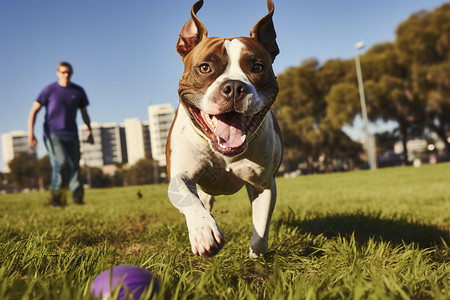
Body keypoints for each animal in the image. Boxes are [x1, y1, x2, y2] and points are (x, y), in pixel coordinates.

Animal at [167, 0, 284, 258]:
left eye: (257, 67)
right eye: (204, 68)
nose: (234, 87)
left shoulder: (263, 184)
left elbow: (261, 228)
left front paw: (256, 255)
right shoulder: (180, 175)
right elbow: (189, 198)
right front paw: (204, 231)